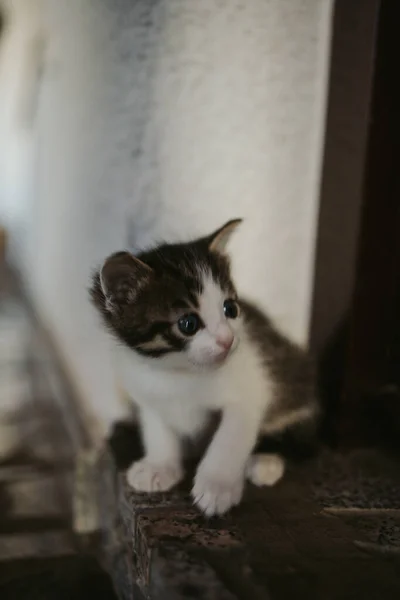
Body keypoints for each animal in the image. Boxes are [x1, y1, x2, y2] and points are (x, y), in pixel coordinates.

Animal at [90, 220, 318, 516]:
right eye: (188, 324)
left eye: (230, 308)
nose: (227, 340)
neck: (179, 372)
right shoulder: (146, 390)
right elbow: (158, 429)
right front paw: (159, 466)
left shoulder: (251, 390)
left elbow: (229, 438)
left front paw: (217, 486)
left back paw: (264, 462)